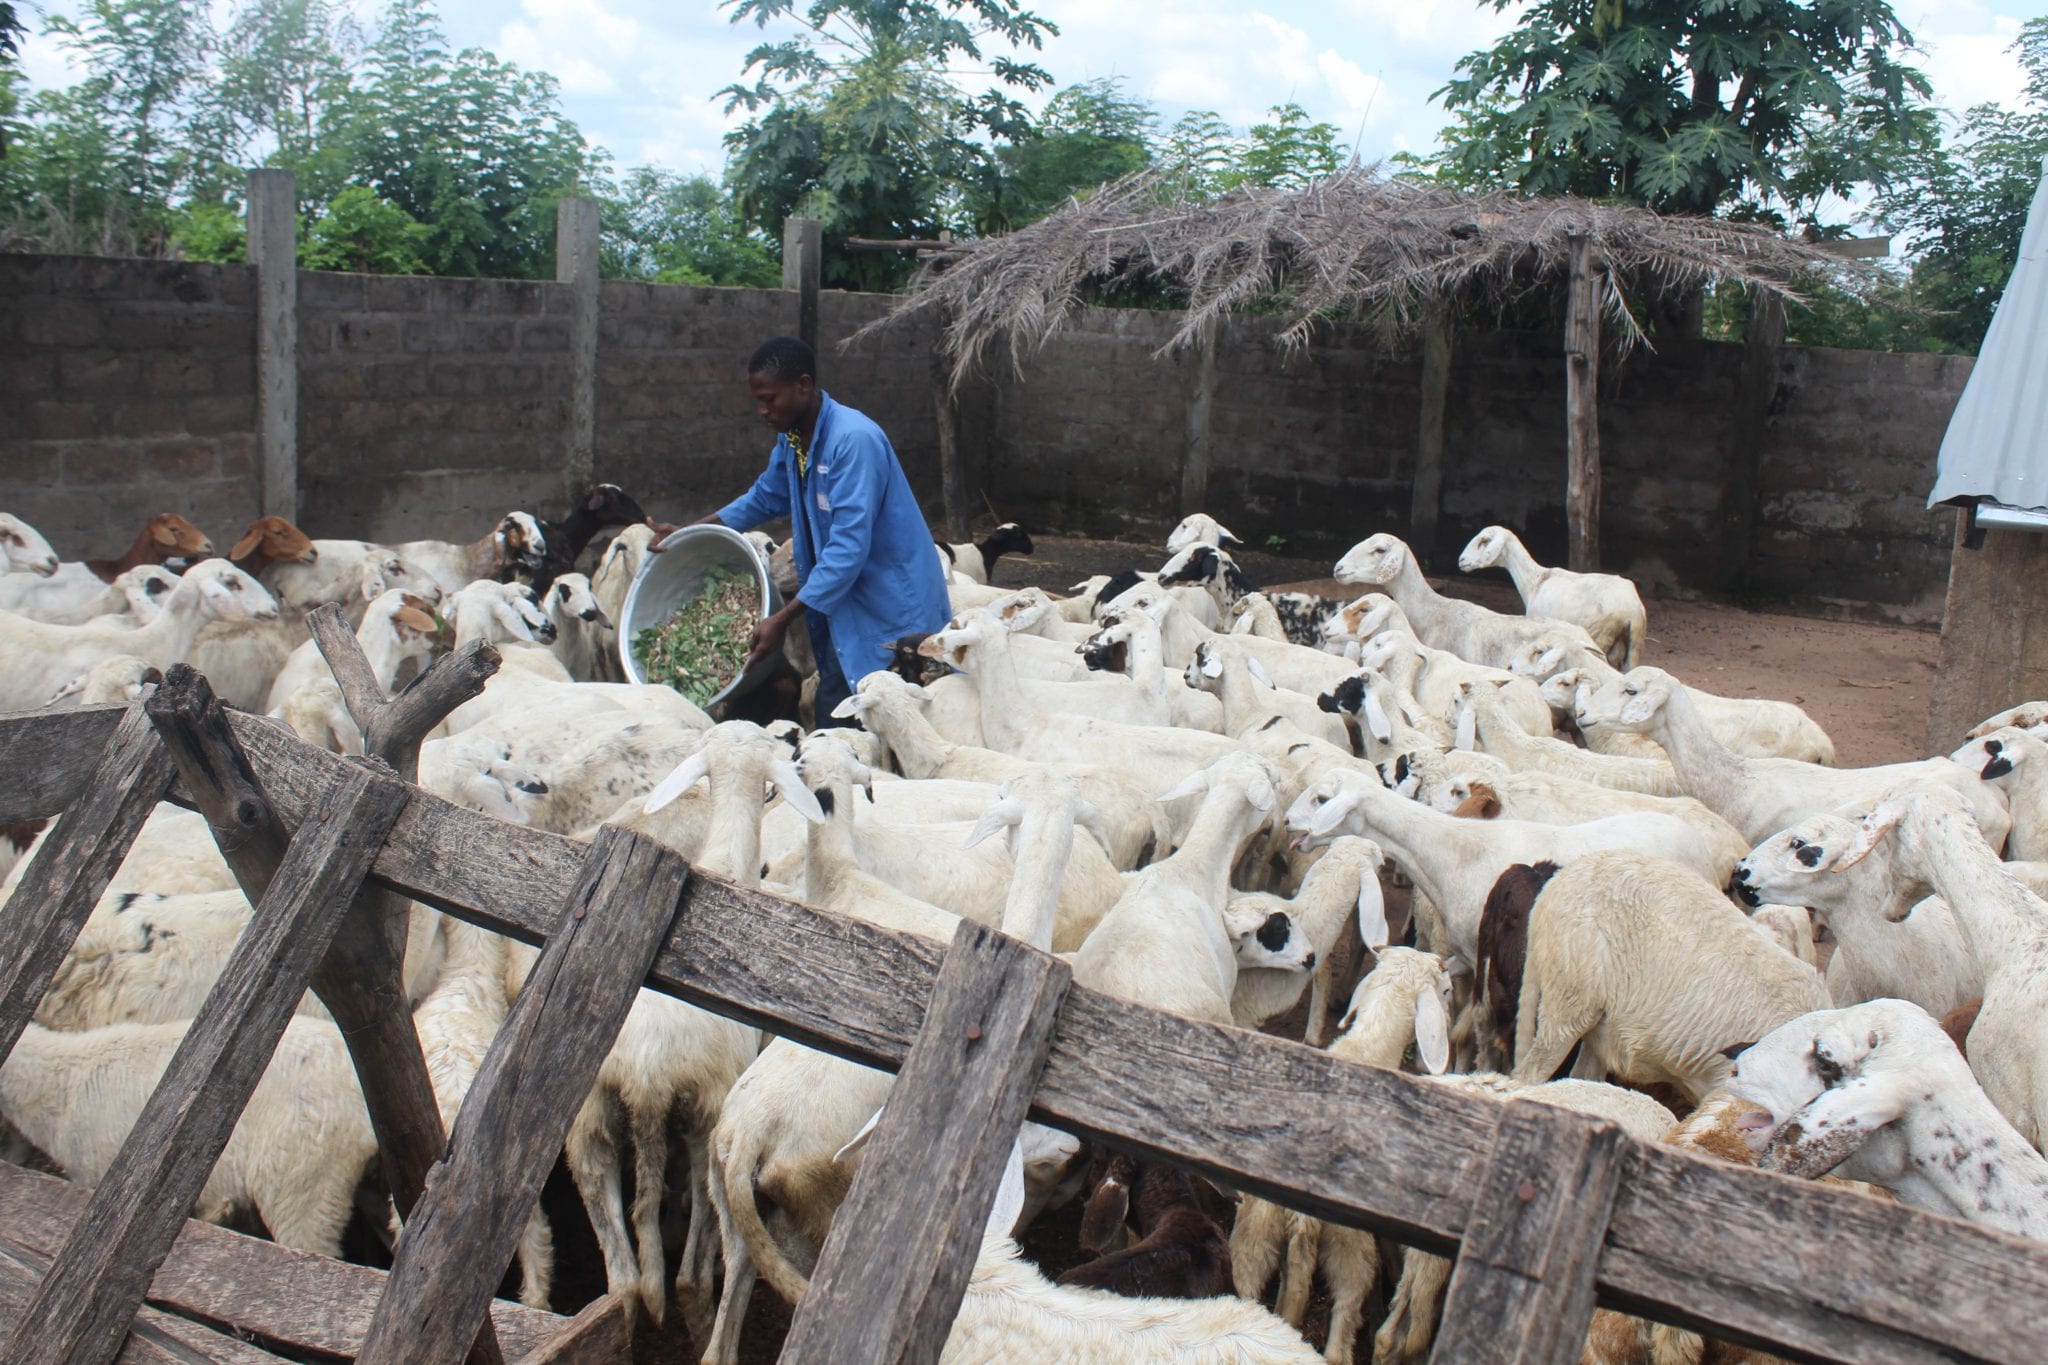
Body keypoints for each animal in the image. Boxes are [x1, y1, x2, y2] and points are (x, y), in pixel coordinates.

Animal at [1458, 527, 1646, 671]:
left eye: (1484, 540)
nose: (1461, 560)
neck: (1535, 580)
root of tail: (1633, 608)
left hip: (1603, 634)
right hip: (1633, 644)